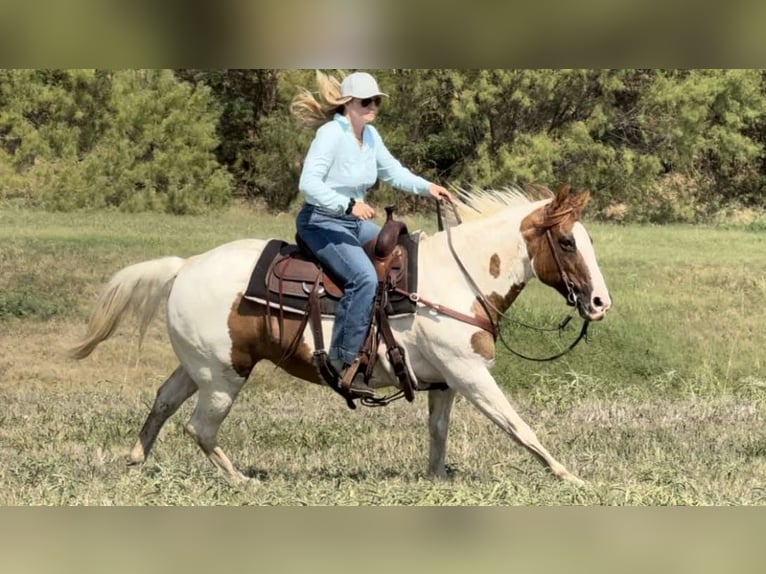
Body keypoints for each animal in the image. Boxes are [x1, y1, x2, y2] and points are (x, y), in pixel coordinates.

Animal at [70, 183, 611, 485]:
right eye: (567, 242)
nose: (600, 303)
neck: (458, 279)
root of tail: (185, 266)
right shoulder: (470, 374)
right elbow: (519, 427)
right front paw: (571, 478)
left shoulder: (445, 381)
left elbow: (438, 433)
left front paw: (437, 480)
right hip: (225, 376)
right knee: (200, 427)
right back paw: (244, 482)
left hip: (201, 366)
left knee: (164, 400)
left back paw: (135, 460)